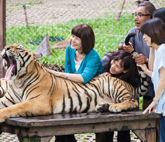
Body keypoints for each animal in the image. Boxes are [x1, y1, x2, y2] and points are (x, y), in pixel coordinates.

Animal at [0, 43, 148, 122]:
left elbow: (15, 107)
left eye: (19, 48)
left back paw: (116, 107)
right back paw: (102, 106)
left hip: (113, 86)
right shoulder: (7, 99)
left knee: (133, 102)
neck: (18, 81)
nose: (5, 47)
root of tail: (129, 85)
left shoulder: (38, 102)